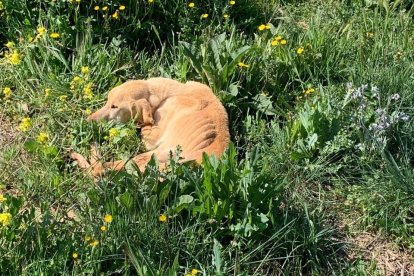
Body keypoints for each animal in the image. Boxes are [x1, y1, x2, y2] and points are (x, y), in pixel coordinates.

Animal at [72, 77, 233, 177]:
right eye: (107, 101)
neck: (174, 92)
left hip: (145, 158)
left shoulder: (151, 139)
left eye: (114, 106)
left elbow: (145, 128)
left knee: (98, 168)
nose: (88, 121)